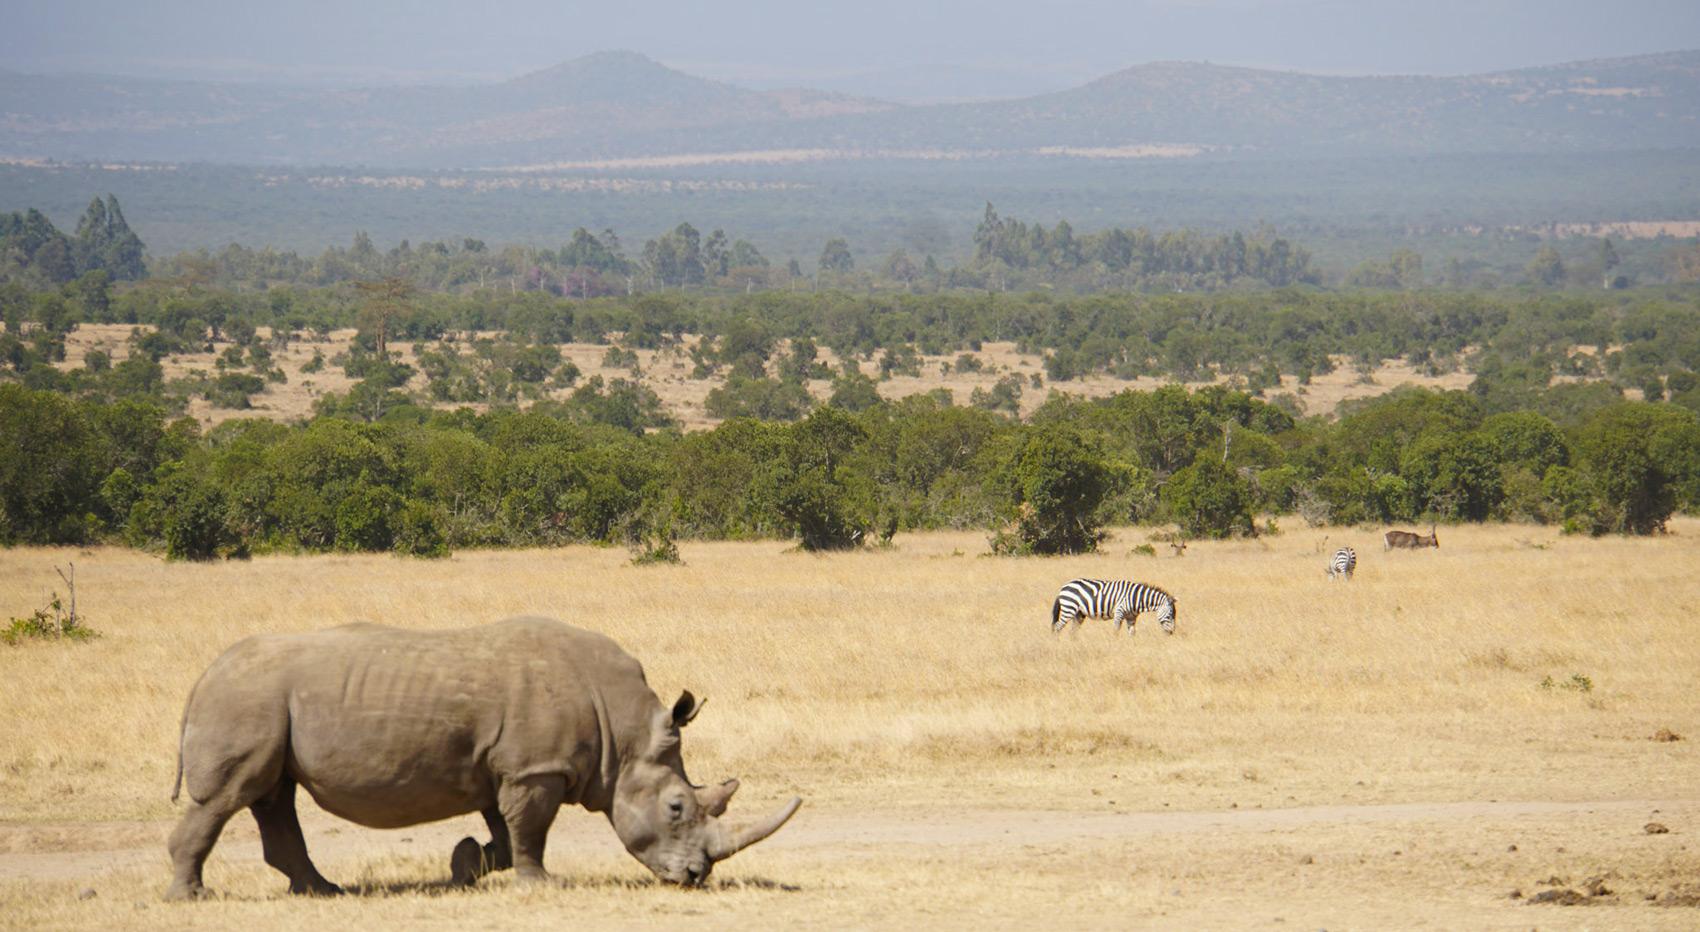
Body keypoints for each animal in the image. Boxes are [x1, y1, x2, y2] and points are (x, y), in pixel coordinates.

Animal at [164, 616, 801, 901]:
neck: (623, 733)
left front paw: (464, 864)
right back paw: (192, 897)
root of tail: (202, 677)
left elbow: (506, 831)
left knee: (273, 794)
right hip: (247, 700)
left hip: (262, 704)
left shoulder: (512, 767)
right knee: (229, 797)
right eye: (676, 808)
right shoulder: (537, 768)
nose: (696, 877)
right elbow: (531, 832)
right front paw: (542, 885)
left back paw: (323, 892)